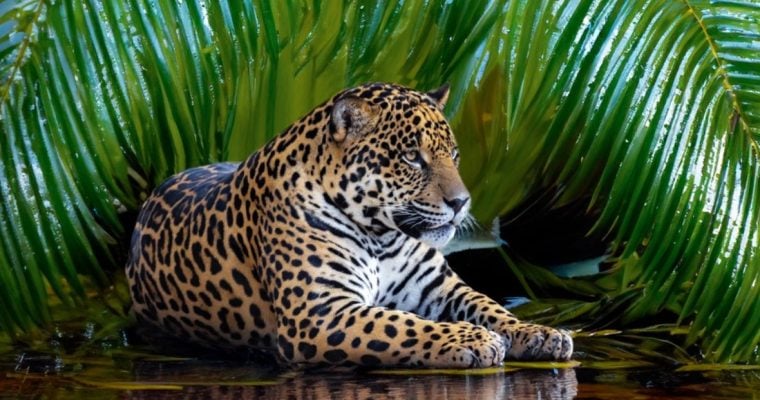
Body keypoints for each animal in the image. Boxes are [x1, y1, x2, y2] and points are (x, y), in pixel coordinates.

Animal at [126, 82, 573, 368]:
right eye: (412, 158)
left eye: (455, 154)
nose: (462, 203)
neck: (382, 235)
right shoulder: (319, 313)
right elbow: (402, 325)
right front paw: (472, 338)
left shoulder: (441, 289)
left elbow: (489, 305)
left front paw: (538, 332)